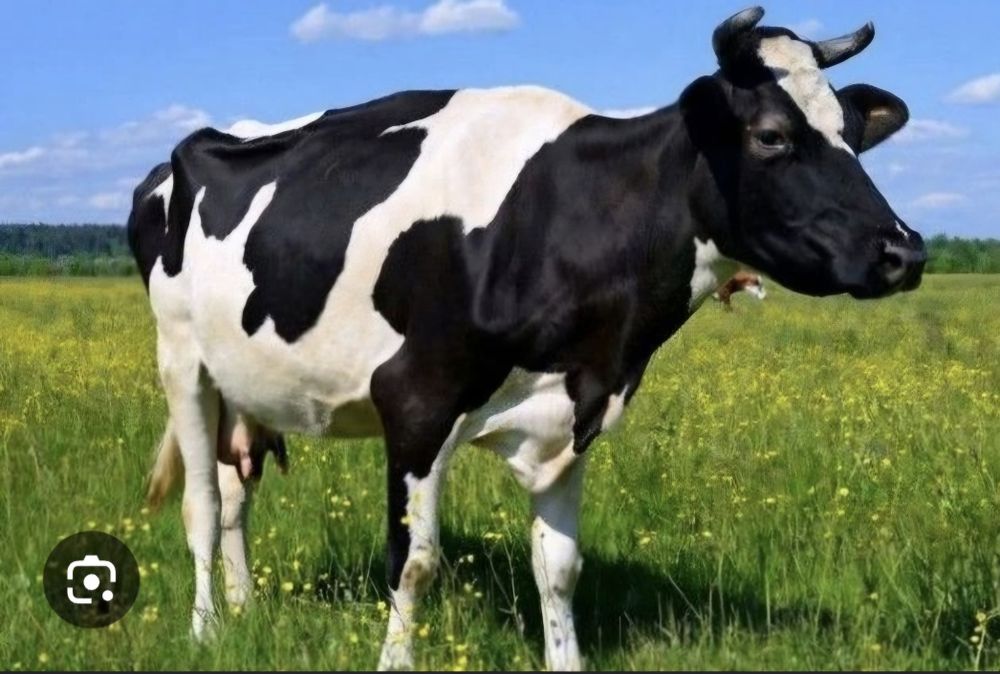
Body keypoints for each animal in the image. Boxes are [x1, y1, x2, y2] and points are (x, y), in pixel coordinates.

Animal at [127, 7, 926, 670]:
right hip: (182, 361)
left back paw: (244, 610)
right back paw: (205, 631)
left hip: (245, 384)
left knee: (236, 492)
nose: (904, 251)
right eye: (770, 137)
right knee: (203, 504)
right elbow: (412, 562)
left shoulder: (573, 409)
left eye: (854, 136)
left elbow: (559, 566)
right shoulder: (415, 402)